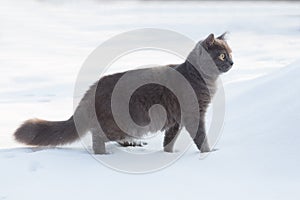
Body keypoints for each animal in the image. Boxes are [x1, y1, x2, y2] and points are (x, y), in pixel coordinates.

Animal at [14, 32, 234, 155]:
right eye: (222, 55)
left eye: (231, 53)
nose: (232, 62)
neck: (202, 78)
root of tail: (93, 88)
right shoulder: (193, 114)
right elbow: (201, 137)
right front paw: (209, 153)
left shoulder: (176, 121)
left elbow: (169, 140)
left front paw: (168, 154)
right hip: (121, 123)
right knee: (97, 136)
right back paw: (105, 154)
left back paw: (130, 144)